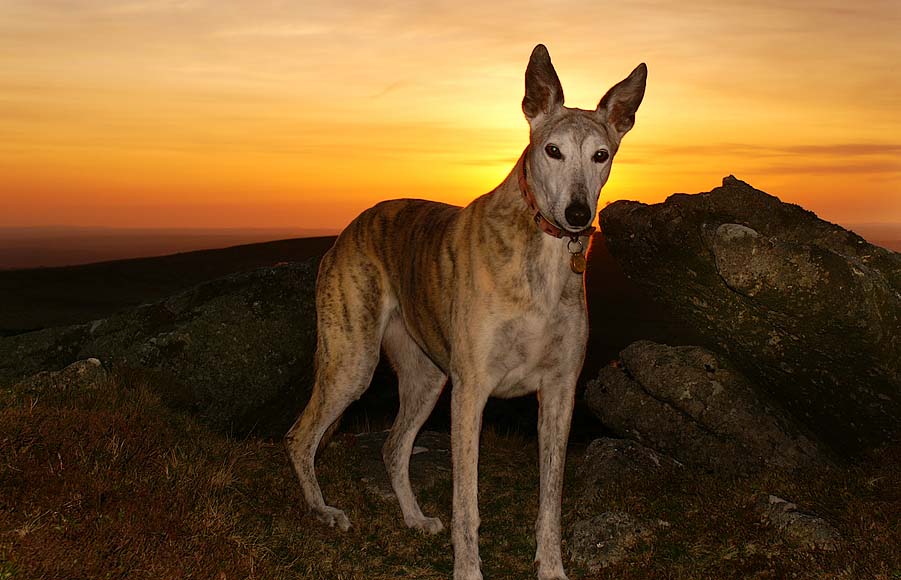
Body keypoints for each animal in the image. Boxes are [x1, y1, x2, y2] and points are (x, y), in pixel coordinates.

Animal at [284, 43, 644, 576]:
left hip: (426, 377)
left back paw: (413, 518)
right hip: (351, 362)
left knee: (393, 448)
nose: (578, 216)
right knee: (301, 437)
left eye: (601, 155)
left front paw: (551, 567)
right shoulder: (472, 391)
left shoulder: (559, 393)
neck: (540, 253)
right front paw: (468, 569)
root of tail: (352, 226)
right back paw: (322, 511)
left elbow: (550, 500)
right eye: (552, 150)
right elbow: (466, 505)